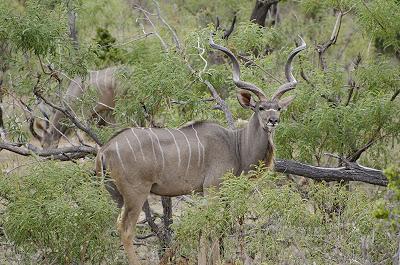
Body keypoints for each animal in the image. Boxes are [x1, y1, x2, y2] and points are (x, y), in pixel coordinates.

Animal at [96, 34, 306, 262]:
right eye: (260, 108)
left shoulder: (203, 194)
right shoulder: (212, 189)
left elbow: (204, 229)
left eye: (278, 108)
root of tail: (104, 150)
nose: (273, 121)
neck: (235, 145)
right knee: (126, 228)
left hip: (115, 195)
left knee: (113, 226)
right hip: (136, 194)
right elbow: (212, 227)